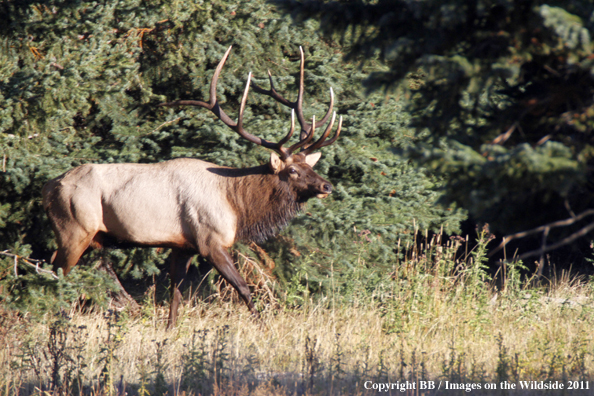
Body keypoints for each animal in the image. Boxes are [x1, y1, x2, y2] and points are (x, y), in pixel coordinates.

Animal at [42, 46, 338, 328]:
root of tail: (48, 188)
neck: (236, 205)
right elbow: (243, 288)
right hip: (74, 228)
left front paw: (170, 331)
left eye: (310, 166)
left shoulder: (183, 245)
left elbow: (175, 295)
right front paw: (264, 327)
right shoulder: (210, 240)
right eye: (292, 171)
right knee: (54, 274)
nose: (327, 186)